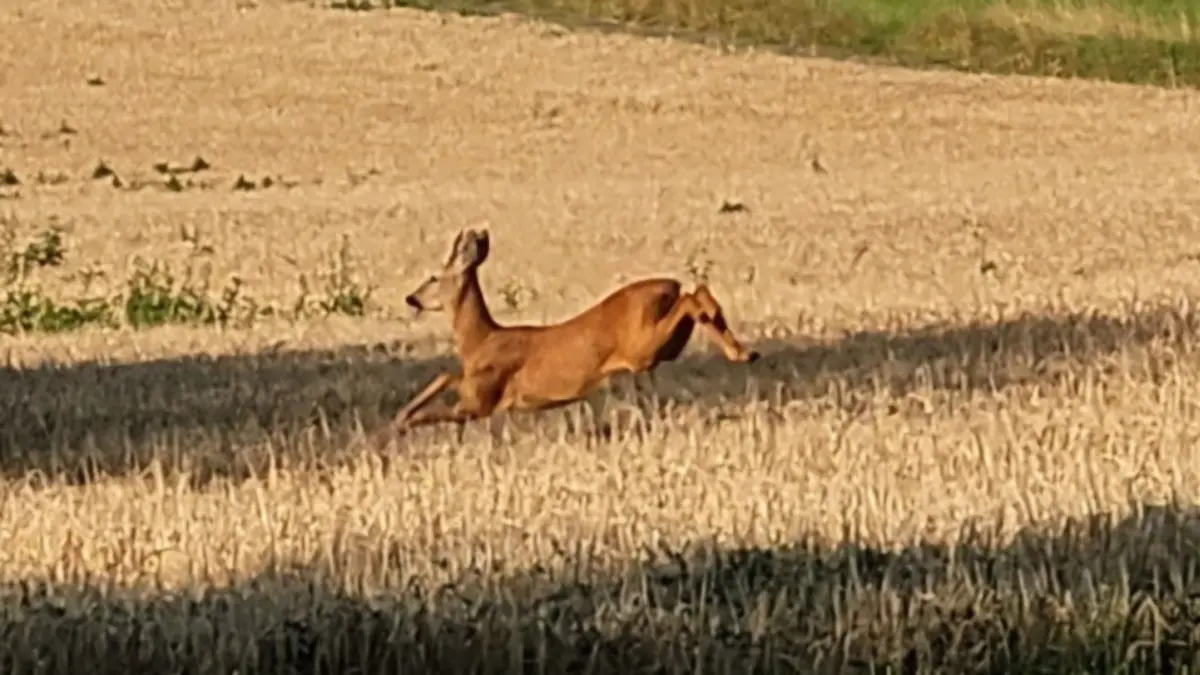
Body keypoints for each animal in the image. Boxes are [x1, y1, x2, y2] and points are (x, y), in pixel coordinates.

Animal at [373, 226, 759, 448]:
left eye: (433, 277)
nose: (411, 298)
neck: (479, 340)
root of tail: (668, 285)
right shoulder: (477, 389)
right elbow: (446, 376)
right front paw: (402, 417)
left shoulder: (480, 400)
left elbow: (445, 394)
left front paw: (403, 422)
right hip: (662, 348)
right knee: (697, 293)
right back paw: (744, 352)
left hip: (641, 348)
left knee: (691, 298)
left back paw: (740, 352)